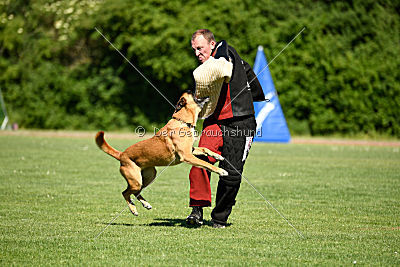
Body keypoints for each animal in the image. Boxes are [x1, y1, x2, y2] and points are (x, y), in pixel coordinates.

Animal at [95, 91, 227, 217]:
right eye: (191, 93)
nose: (191, 88)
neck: (183, 122)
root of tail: (122, 154)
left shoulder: (191, 150)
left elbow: (205, 149)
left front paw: (218, 156)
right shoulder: (187, 156)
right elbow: (206, 163)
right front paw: (221, 171)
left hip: (149, 176)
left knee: (136, 192)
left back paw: (146, 204)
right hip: (136, 181)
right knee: (125, 192)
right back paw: (133, 209)